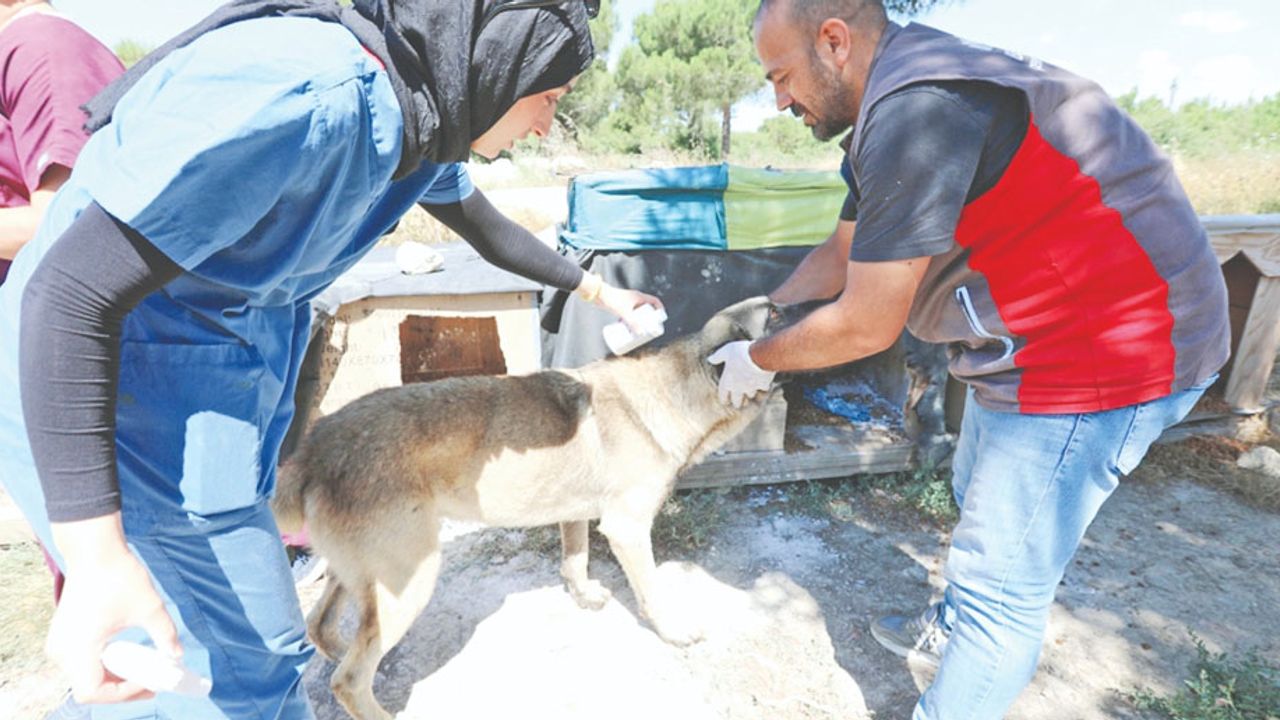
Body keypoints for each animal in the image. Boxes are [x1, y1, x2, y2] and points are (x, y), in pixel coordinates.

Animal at [275, 293, 783, 717]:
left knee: (323, 629)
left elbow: (575, 561)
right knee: (348, 681)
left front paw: (583, 595)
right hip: (409, 581)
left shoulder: (576, 515)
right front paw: (673, 631)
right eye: (775, 316)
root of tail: (314, 446)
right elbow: (653, 593)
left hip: (355, 577)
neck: (677, 387)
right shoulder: (628, 530)